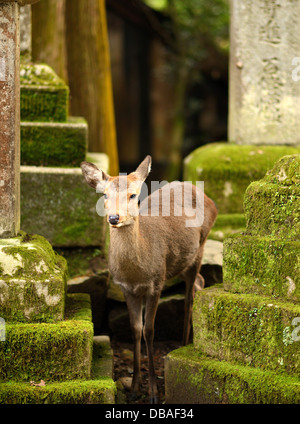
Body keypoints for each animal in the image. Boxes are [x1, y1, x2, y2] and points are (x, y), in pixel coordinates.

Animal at [81, 157, 217, 404]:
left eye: (133, 195)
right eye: (104, 194)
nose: (114, 218)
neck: (136, 272)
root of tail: (210, 199)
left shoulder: (156, 283)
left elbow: (149, 330)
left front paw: (154, 392)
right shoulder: (126, 288)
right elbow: (135, 329)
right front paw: (135, 389)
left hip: (199, 247)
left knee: (190, 296)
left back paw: (184, 344)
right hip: (178, 263)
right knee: (200, 282)